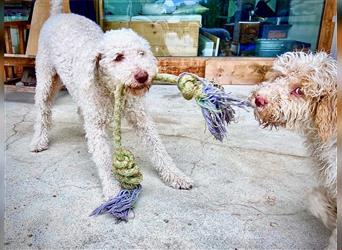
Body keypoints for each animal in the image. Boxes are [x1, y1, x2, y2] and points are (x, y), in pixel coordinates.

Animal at [30, 0, 192, 199]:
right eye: (118, 57)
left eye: (141, 53)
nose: (142, 76)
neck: (111, 89)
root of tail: (58, 15)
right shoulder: (97, 124)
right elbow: (103, 158)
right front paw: (112, 189)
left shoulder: (140, 118)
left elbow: (158, 147)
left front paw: (175, 175)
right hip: (46, 79)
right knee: (43, 111)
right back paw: (39, 140)